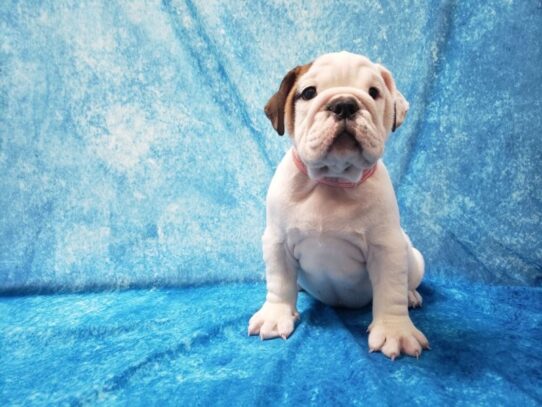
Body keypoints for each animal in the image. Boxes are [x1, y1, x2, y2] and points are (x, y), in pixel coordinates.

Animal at [249, 51, 432, 360]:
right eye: (308, 93)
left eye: (374, 93)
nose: (345, 104)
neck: (332, 180)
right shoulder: (277, 242)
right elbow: (279, 282)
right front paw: (275, 315)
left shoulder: (387, 248)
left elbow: (390, 290)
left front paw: (395, 331)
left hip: (415, 260)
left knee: (406, 283)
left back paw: (411, 295)